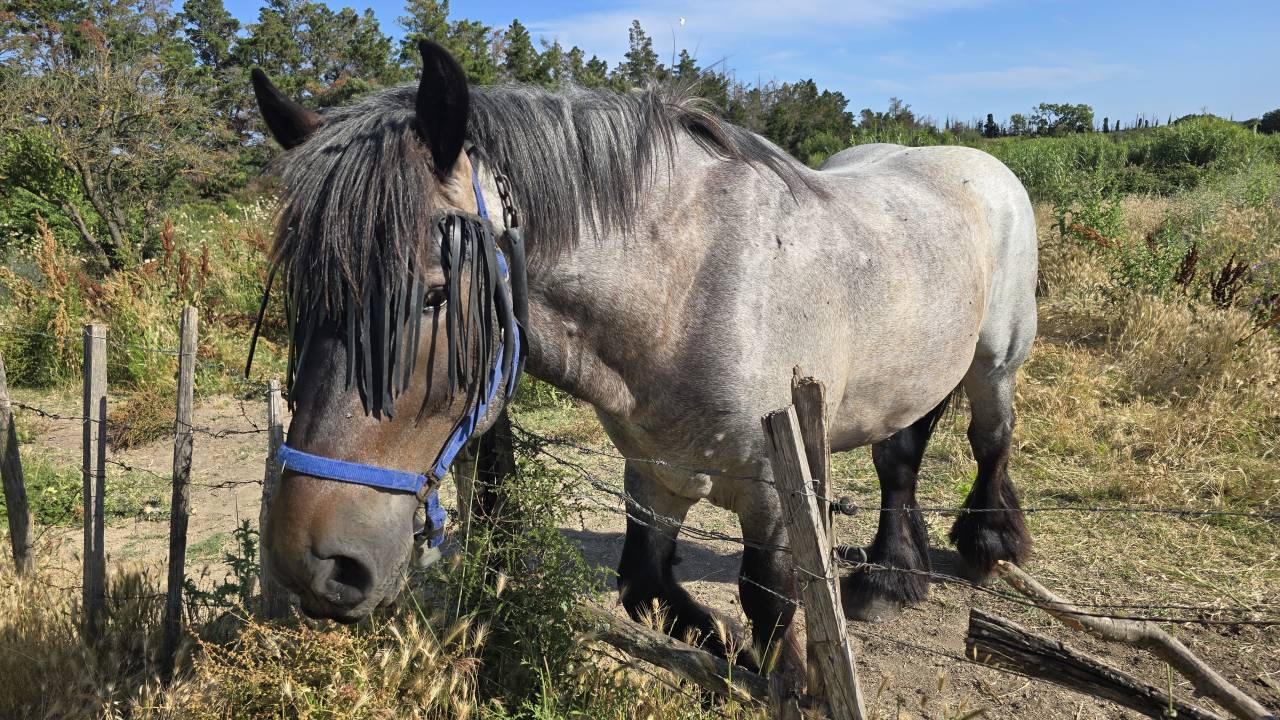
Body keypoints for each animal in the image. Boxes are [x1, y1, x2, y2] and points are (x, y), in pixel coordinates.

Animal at [254, 40, 1037, 689]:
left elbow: (769, 606)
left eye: (433, 295)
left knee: (989, 439)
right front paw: (726, 652)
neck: (688, 292)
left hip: (995, 363)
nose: (311, 565)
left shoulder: (775, 490)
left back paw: (989, 543)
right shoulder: (655, 475)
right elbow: (645, 586)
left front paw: (783, 676)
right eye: (301, 297)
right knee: (901, 457)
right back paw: (889, 579)